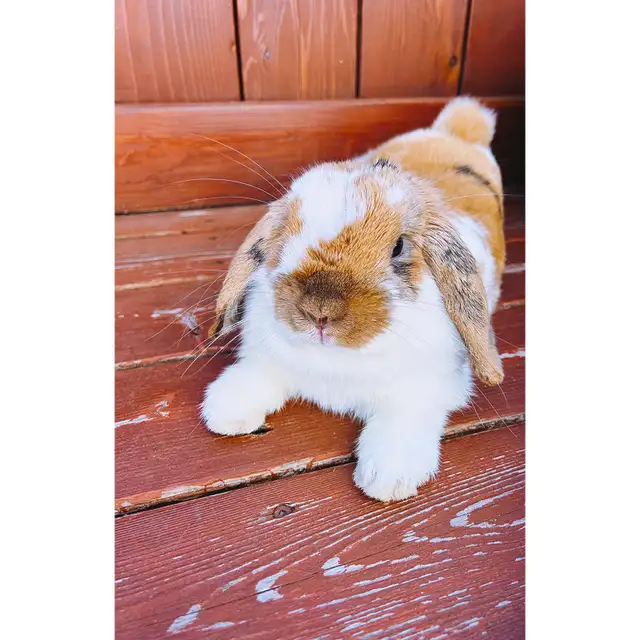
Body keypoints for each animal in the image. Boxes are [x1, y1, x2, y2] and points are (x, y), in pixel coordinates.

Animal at [201, 97, 505, 502]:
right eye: (283, 235)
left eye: (399, 247)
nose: (319, 311)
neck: (336, 360)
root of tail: (456, 130)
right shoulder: (269, 358)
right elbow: (259, 374)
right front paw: (225, 410)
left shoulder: (426, 390)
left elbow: (402, 421)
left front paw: (388, 478)